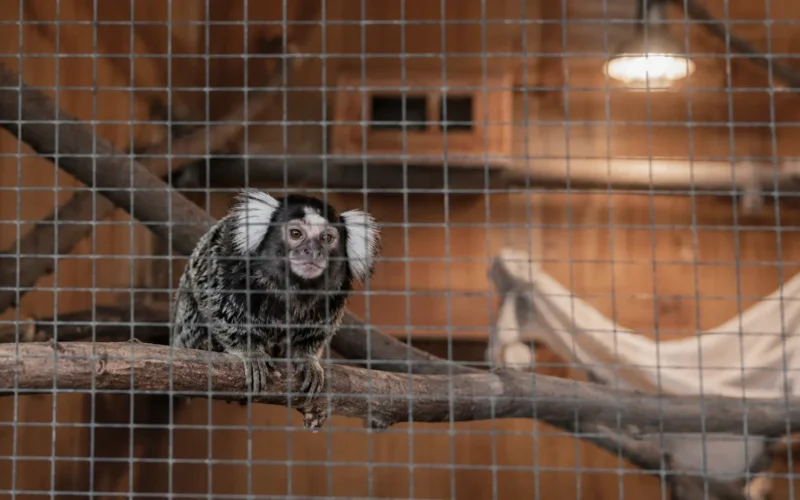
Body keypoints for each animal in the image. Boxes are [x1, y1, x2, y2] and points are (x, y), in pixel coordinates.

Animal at [171, 188, 381, 403]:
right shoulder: (226, 261)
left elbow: (315, 333)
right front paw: (250, 351)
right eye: (296, 234)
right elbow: (216, 305)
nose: (313, 252)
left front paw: (307, 358)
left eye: (326, 238)